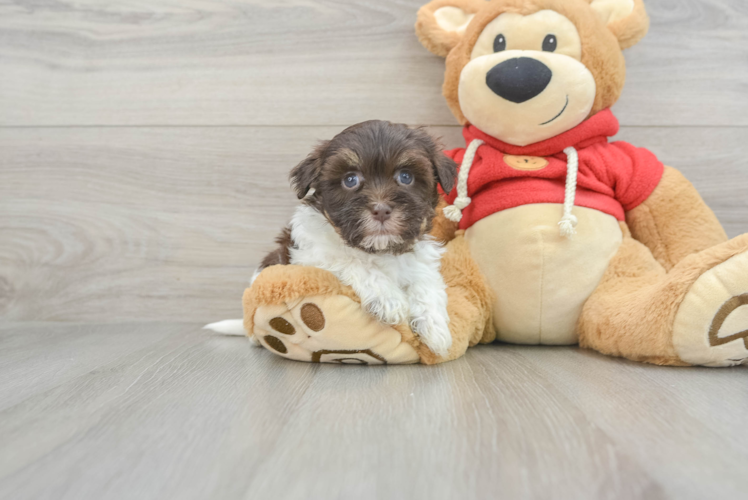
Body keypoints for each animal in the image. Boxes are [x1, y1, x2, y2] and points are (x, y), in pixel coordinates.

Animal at [260, 120, 458, 356]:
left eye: (405, 177)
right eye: (350, 180)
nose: (381, 210)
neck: (379, 249)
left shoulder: (421, 260)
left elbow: (426, 282)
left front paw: (436, 329)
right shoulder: (309, 255)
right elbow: (353, 262)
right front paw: (389, 300)